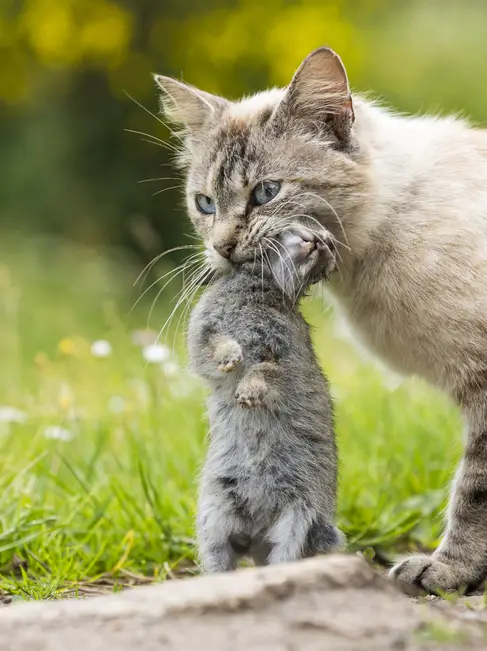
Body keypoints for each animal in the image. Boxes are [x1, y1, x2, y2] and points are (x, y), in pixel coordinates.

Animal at [187, 228, 344, 572]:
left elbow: (267, 371)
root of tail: (255, 534)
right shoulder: (205, 333)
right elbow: (215, 347)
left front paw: (247, 394)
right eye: (296, 234)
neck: (263, 285)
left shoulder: (281, 355)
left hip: (297, 517)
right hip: (215, 515)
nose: (323, 241)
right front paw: (231, 359)